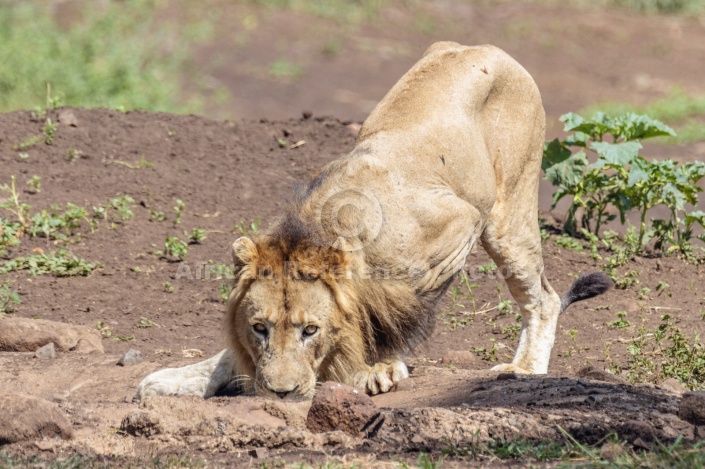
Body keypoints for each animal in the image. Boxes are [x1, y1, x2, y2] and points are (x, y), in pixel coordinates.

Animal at [136, 43, 612, 398]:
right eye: (259, 328)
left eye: (310, 330)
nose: (279, 392)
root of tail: (488, 48)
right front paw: (182, 377)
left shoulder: (458, 226)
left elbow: (406, 313)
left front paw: (379, 366)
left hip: (506, 216)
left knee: (543, 296)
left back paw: (524, 368)